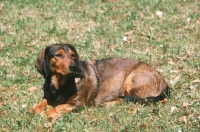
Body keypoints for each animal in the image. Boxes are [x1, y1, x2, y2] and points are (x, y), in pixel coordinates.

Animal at [33, 43, 170, 120]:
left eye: (73, 55)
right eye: (58, 55)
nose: (74, 67)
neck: (59, 85)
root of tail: (165, 83)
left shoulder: (77, 104)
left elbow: (59, 107)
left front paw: (48, 113)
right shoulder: (47, 97)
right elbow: (41, 103)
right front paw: (33, 110)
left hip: (130, 81)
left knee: (131, 101)